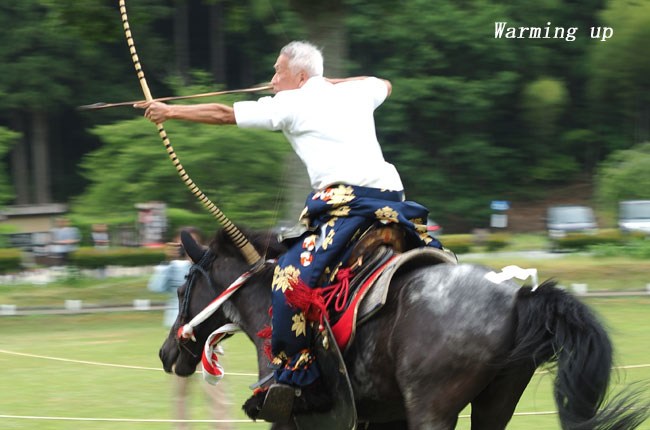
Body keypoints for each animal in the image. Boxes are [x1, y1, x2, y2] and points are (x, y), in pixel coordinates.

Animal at [159, 230, 644, 428]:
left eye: (183, 287)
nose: (166, 353)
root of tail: (519, 297)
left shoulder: (290, 415)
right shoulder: (382, 416)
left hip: (433, 407)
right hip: (496, 403)